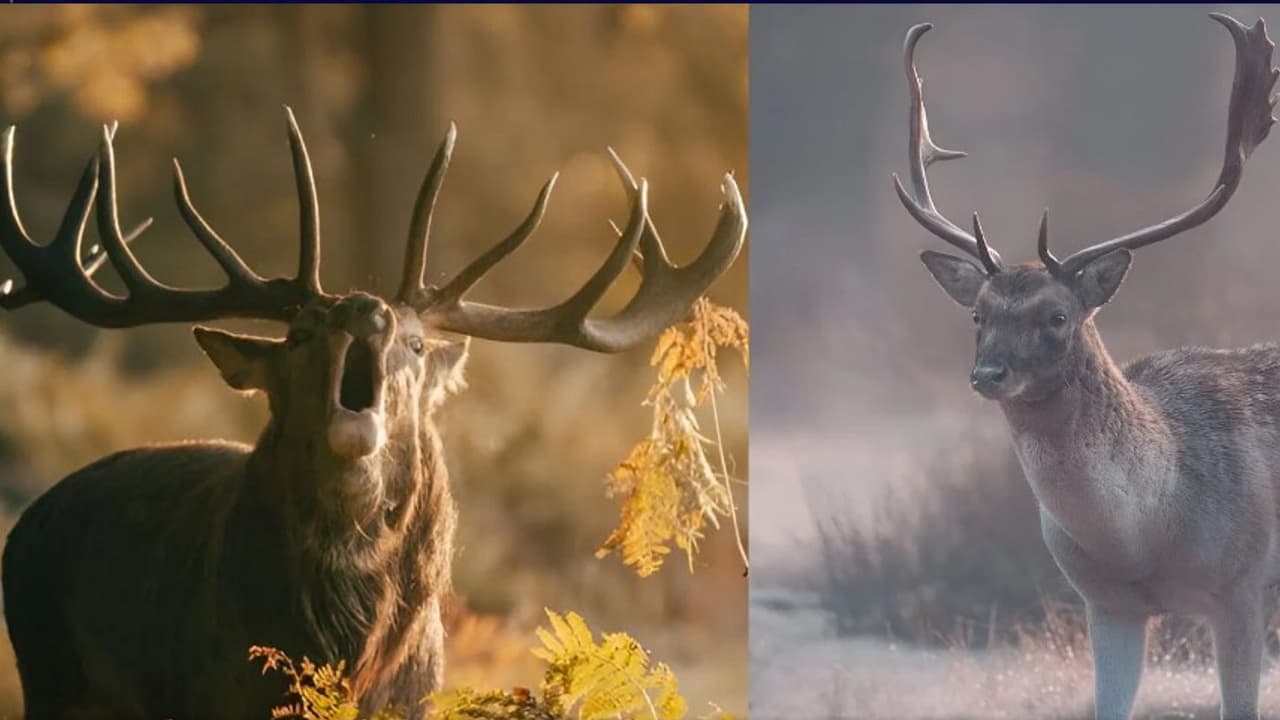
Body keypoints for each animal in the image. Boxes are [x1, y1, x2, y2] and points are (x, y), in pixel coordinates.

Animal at [0, 111, 746, 720]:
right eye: (300, 333)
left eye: (416, 344)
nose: (366, 308)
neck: (345, 652)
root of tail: (27, 522)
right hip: (48, 673)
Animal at [893, 13, 1280, 720]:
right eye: (977, 314)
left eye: (1057, 315)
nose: (987, 375)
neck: (1146, 537)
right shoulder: (1105, 605)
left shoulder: (1242, 586)